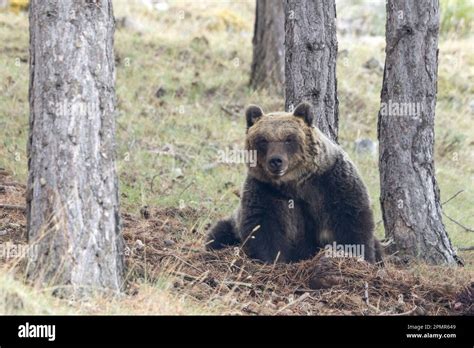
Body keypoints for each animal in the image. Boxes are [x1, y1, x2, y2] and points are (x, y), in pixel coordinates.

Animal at [206, 103, 384, 264]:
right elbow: (262, 227)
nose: (275, 161)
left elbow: (352, 221)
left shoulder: (332, 182)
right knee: (218, 234)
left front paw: (357, 257)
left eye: (288, 139)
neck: (295, 182)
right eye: (263, 140)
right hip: (232, 224)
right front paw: (272, 260)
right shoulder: (264, 190)